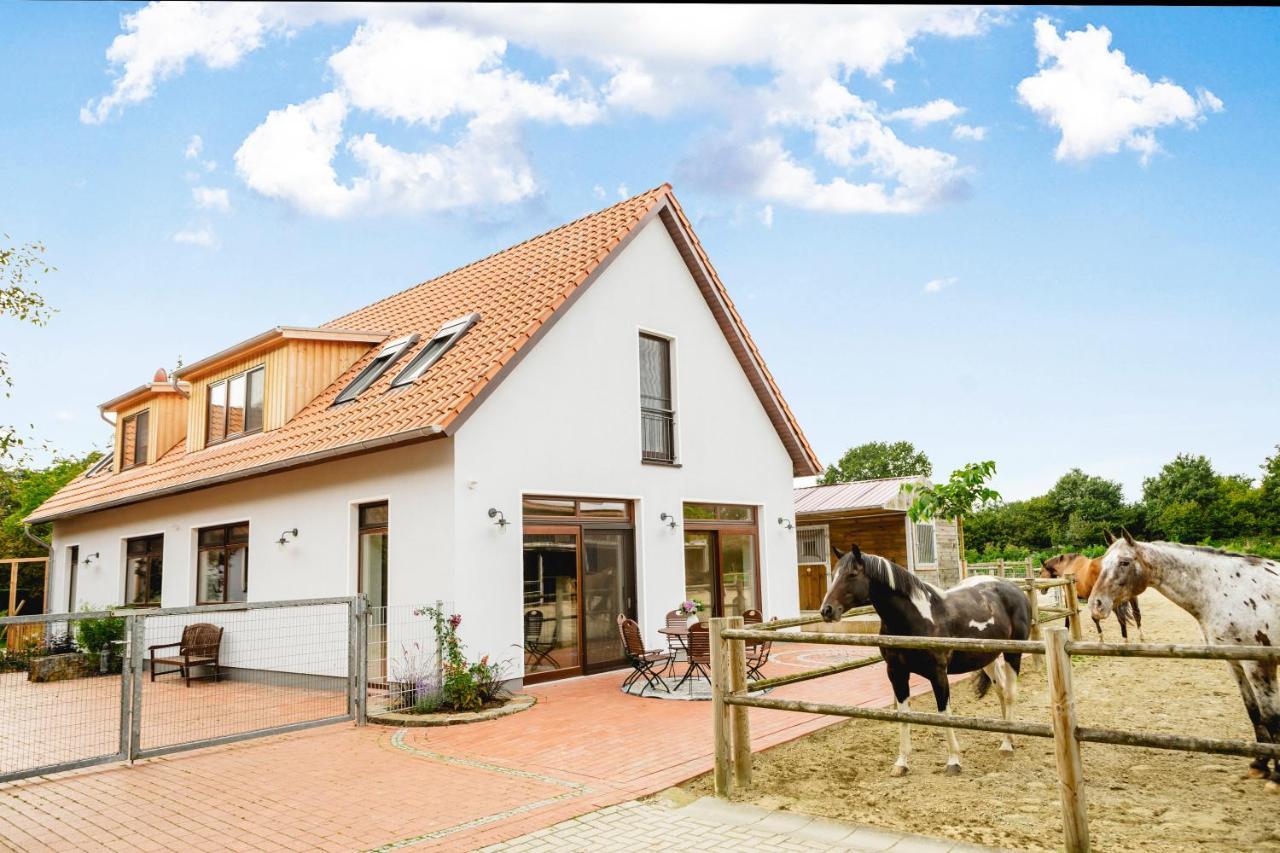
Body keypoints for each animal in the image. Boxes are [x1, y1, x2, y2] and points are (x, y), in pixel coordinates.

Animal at [819, 545, 1029, 778]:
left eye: (852, 574)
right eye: (834, 574)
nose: (826, 610)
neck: (916, 618)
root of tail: (1013, 587)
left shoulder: (938, 673)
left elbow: (944, 713)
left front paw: (953, 761)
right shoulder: (896, 672)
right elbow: (904, 714)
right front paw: (901, 763)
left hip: (1013, 654)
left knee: (1010, 693)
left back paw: (1007, 745)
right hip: (987, 657)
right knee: (1001, 690)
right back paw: (1008, 737)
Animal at [1085, 532, 1280, 783]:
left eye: (1125, 562)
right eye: (1102, 563)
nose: (1095, 605)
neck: (1226, 591)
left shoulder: (1259, 664)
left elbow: (1272, 717)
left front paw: (1277, 776)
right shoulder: (1234, 662)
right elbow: (1254, 711)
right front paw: (1259, 764)